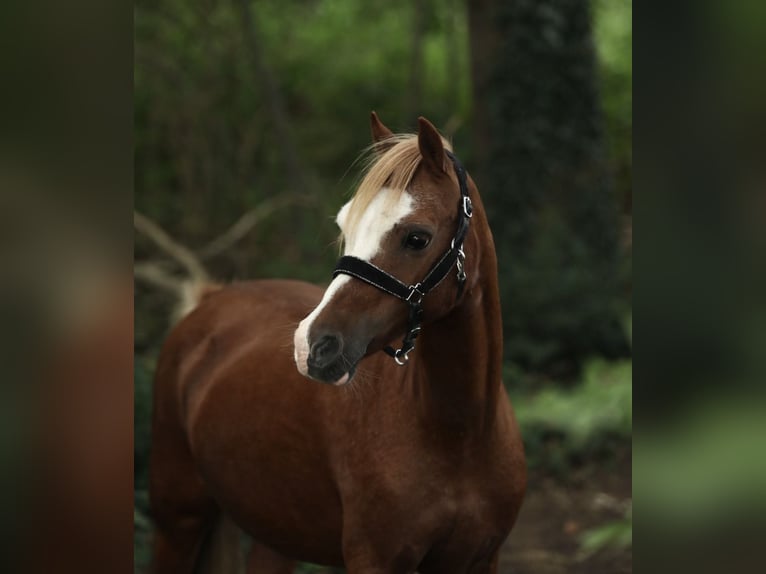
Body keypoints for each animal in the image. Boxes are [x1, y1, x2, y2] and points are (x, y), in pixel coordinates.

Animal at [149, 113, 526, 574]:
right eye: (345, 226)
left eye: (417, 237)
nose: (313, 346)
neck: (458, 435)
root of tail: (209, 301)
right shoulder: (375, 559)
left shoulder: (480, 558)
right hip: (177, 523)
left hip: (276, 533)